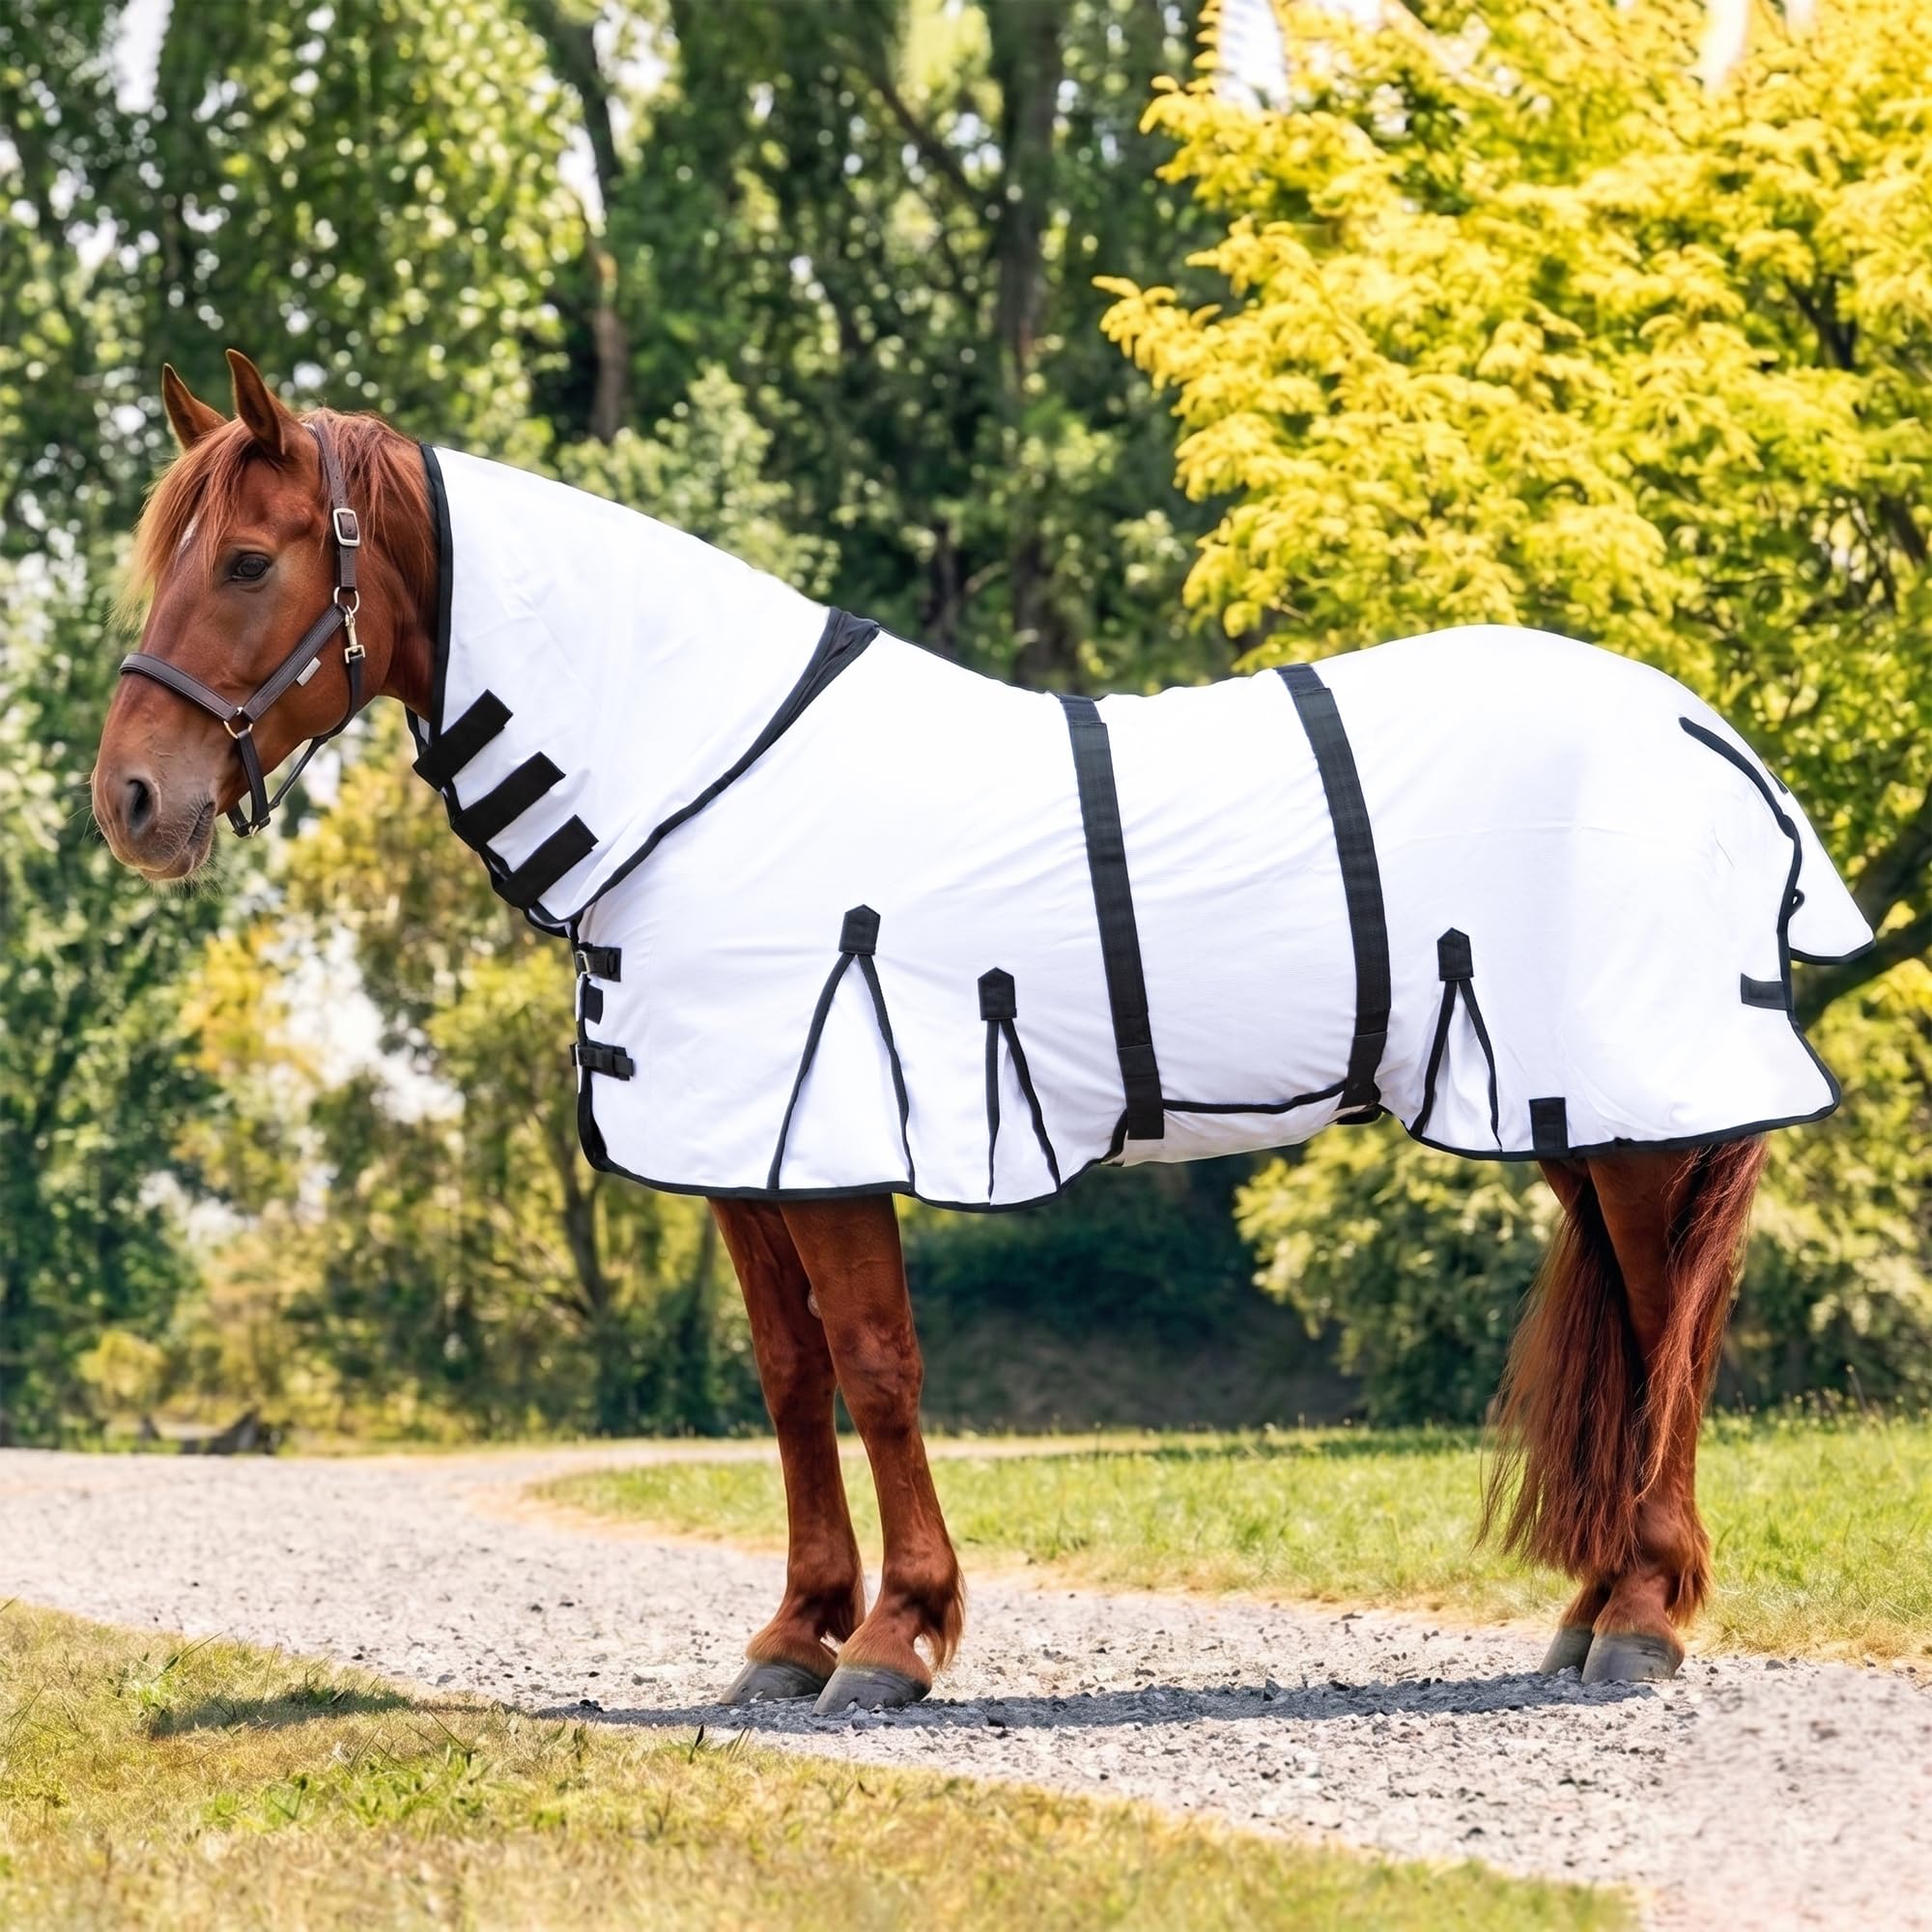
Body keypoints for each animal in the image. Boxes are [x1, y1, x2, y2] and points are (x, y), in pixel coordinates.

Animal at [94, 352, 1867, 1712]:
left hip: (1638, 1113)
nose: (131, 802)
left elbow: (879, 1369)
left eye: (246, 562)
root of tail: (1704, 730)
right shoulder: (743, 1156)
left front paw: (898, 1637)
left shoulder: (832, 1142)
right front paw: (794, 1635)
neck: (702, 771)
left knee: (1681, 1320)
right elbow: (790, 1376)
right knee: (1641, 1324)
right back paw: (1593, 1608)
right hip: (1581, 1115)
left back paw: (1645, 1619)